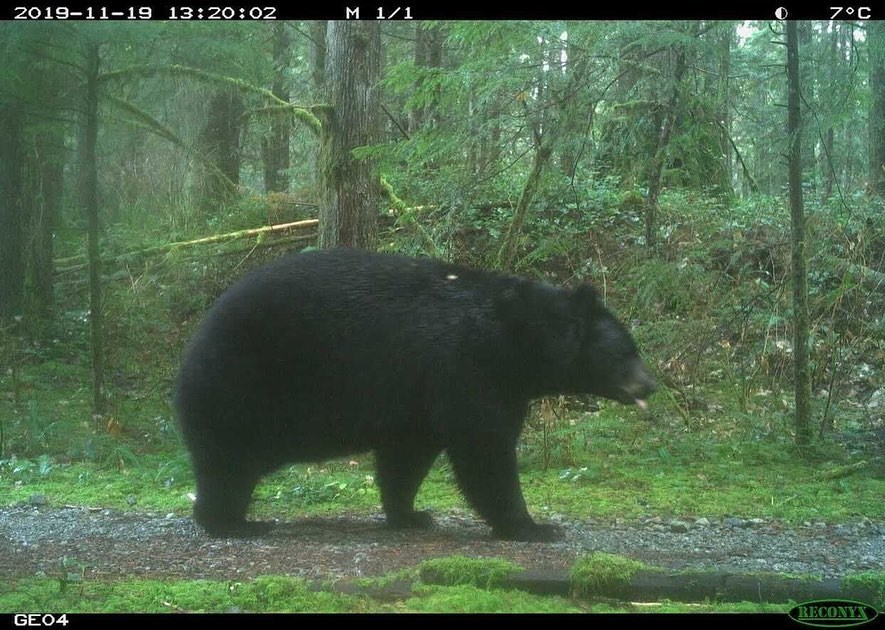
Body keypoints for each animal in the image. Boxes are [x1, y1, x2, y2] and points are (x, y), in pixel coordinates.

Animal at [174, 248, 656, 544]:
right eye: (627, 351)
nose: (651, 383)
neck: (517, 339)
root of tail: (193, 342)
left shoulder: (419, 395)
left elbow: (407, 455)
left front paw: (411, 515)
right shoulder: (468, 368)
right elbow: (485, 449)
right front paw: (533, 526)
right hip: (240, 388)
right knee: (227, 464)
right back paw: (237, 523)